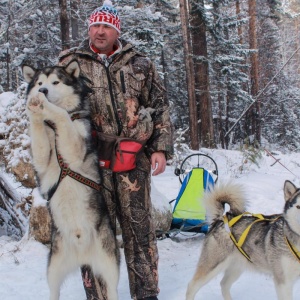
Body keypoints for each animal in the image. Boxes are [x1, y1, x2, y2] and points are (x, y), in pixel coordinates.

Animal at [22, 61, 119, 300]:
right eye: (39, 82)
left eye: (55, 82)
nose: (42, 91)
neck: (53, 129)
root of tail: (82, 253)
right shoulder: (42, 161)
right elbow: (38, 137)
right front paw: (34, 108)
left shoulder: (75, 148)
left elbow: (63, 116)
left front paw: (49, 108)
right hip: (53, 267)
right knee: (53, 290)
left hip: (109, 262)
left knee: (112, 288)